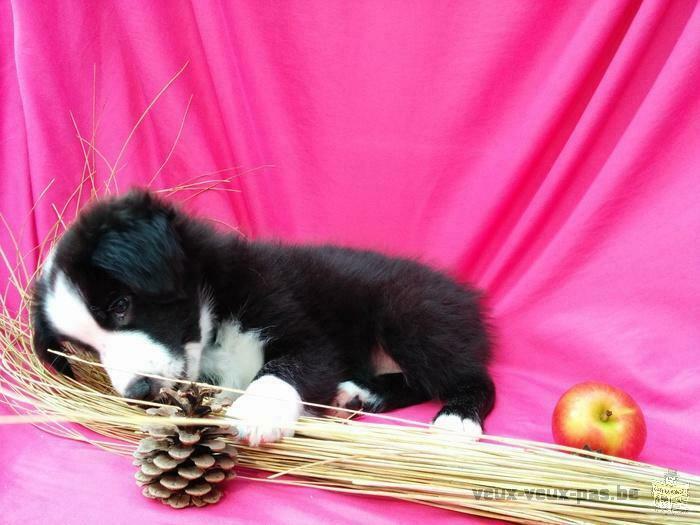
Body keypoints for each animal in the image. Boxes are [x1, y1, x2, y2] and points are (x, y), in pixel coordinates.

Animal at [30, 188, 494, 442]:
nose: (138, 392)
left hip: (409, 313)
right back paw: (358, 394)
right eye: (89, 349)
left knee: (472, 378)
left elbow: (286, 366)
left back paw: (456, 418)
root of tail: (464, 296)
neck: (216, 315)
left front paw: (257, 411)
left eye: (120, 306)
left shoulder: (298, 322)